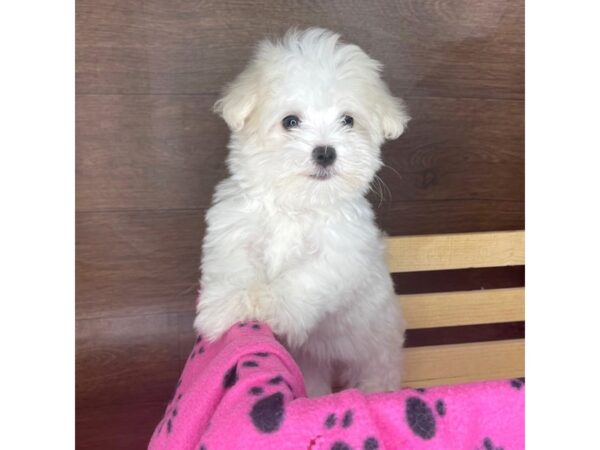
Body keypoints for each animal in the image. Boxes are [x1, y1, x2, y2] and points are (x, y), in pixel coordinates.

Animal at [195, 28, 410, 396]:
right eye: (290, 121)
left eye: (348, 120)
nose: (325, 152)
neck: (297, 203)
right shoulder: (234, 228)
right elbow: (234, 267)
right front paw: (227, 308)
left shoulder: (341, 251)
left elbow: (305, 278)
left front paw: (271, 305)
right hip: (310, 363)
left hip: (376, 351)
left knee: (376, 375)